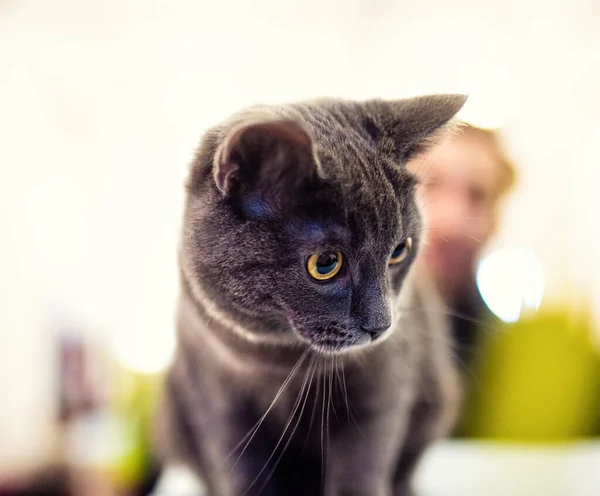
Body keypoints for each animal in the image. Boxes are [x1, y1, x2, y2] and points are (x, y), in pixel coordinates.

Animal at [157, 94, 466, 496]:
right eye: (326, 263)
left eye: (400, 250)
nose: (381, 325)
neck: (277, 361)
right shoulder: (217, 394)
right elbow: (241, 468)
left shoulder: (380, 384)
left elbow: (361, 465)